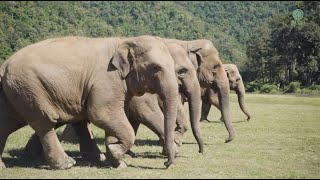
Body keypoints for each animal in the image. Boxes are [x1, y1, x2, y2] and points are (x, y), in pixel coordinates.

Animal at [0, 35, 179, 170]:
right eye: (155, 68)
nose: (166, 163)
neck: (124, 41)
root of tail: (4, 65)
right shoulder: (107, 80)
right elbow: (102, 114)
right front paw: (116, 151)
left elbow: (114, 117)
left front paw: (116, 158)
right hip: (30, 89)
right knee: (44, 122)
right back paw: (67, 164)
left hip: (16, 93)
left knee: (6, 125)